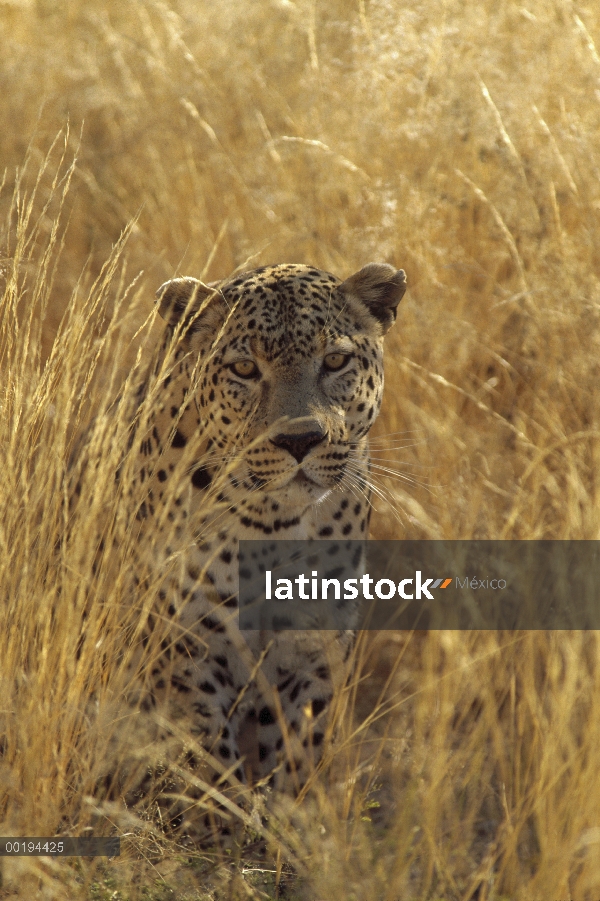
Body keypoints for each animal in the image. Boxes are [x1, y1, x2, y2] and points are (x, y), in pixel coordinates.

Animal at [82, 260, 406, 836]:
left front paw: (288, 827)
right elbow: (208, 751)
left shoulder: (315, 645)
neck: (273, 526)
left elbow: (299, 748)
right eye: (243, 369)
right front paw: (224, 830)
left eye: (335, 361)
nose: (300, 440)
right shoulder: (185, 641)